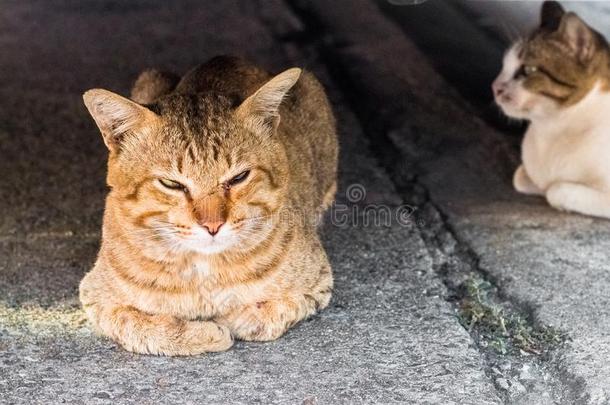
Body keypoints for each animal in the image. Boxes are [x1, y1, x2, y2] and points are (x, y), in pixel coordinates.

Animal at [79, 56, 338, 354]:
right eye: (171, 184)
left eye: (239, 177)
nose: (213, 225)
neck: (204, 270)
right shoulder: (96, 296)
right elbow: (139, 326)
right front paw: (205, 332)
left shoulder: (318, 281)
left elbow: (265, 317)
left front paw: (230, 319)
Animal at [492, 0, 608, 218]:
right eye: (504, 65)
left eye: (528, 70)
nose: (494, 87)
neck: (552, 128)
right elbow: (519, 176)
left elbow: (556, 190)